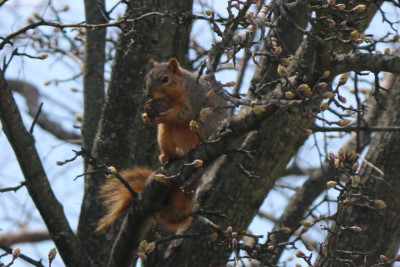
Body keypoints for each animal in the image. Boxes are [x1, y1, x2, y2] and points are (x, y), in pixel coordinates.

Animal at [96, 58, 228, 232]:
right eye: (147, 77)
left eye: (165, 79)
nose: (148, 94)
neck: (171, 96)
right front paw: (146, 116)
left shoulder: (194, 97)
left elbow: (185, 113)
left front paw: (169, 114)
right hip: (163, 135)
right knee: (170, 146)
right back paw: (167, 157)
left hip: (205, 122)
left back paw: (194, 145)